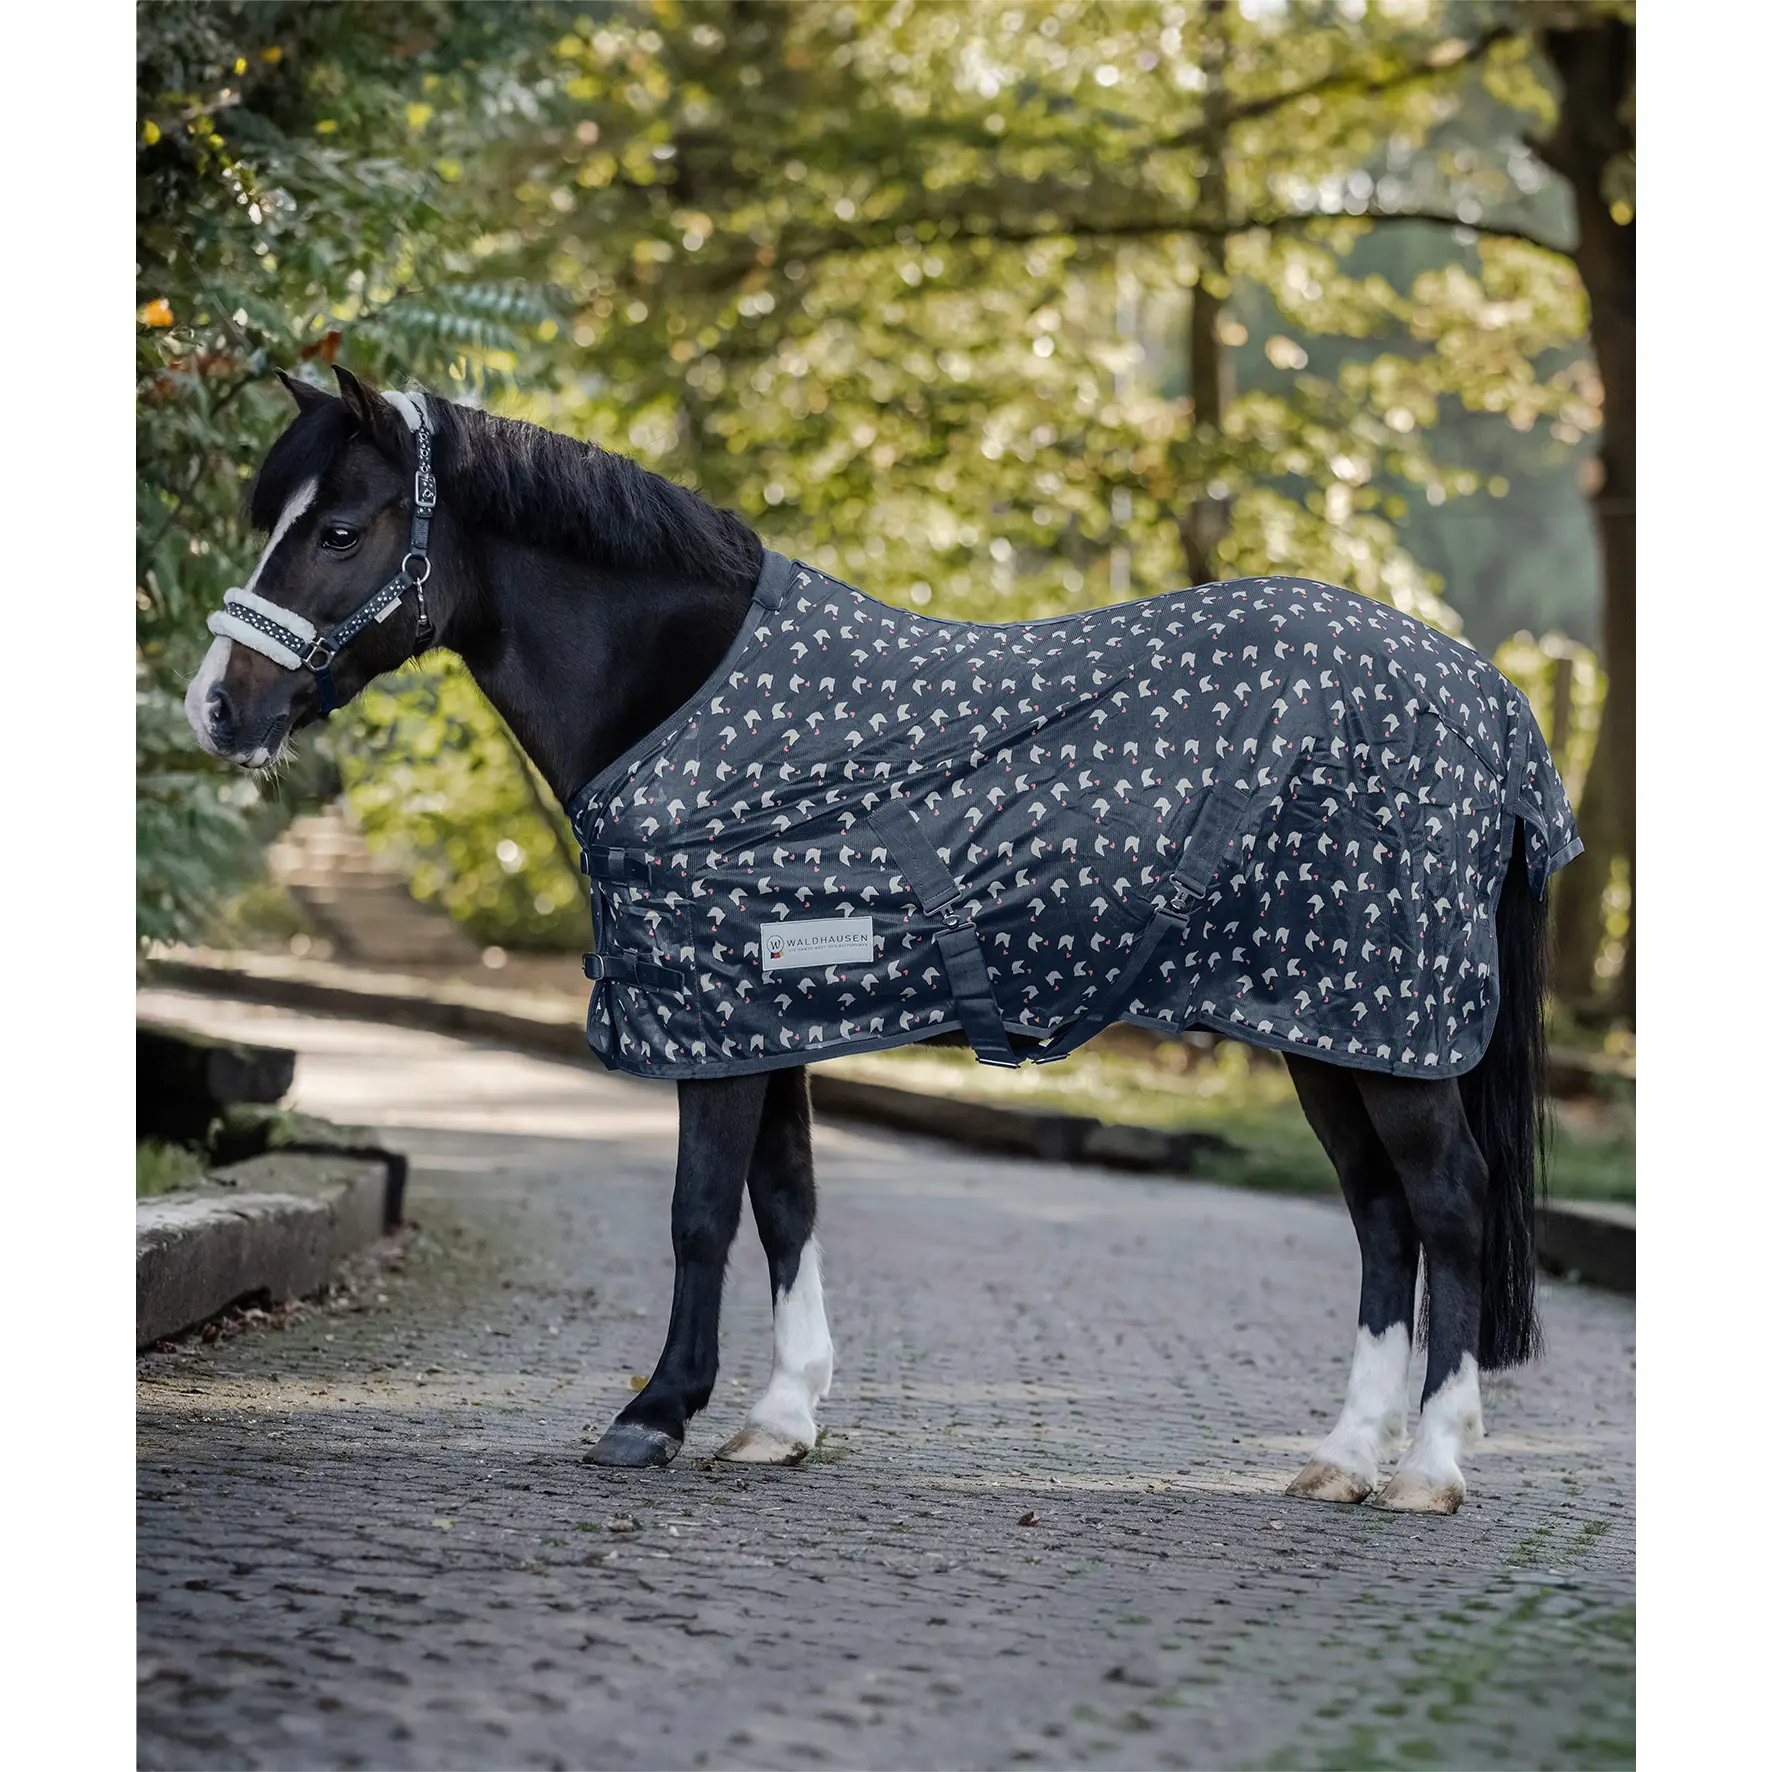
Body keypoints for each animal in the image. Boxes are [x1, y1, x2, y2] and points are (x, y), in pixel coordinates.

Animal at [182, 366, 1575, 1514]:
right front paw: (779, 1416)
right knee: (1383, 1219)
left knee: (1446, 1204)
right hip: (1325, 1027)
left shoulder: (715, 1019)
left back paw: (1428, 1467)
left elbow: (701, 1211)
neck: (681, 690)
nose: (215, 707)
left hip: (1384, 1029)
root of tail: (1488, 698)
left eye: (341, 529)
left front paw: (655, 1412)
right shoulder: (759, 1015)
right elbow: (786, 1200)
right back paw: (1340, 1457)